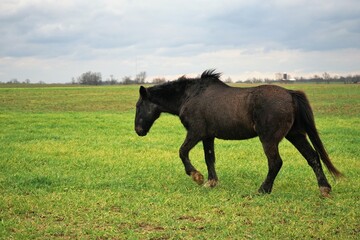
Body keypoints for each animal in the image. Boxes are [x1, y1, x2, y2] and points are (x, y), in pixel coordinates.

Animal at [134, 69, 342, 197]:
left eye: (138, 106)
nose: (138, 131)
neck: (190, 96)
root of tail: (290, 94)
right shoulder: (208, 136)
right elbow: (210, 158)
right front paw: (211, 182)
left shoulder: (196, 132)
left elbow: (182, 152)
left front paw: (196, 176)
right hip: (295, 134)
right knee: (312, 157)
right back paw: (324, 188)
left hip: (269, 139)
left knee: (276, 162)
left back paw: (263, 190)